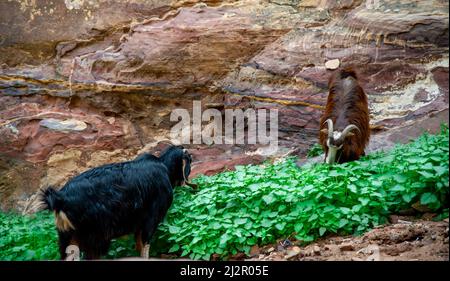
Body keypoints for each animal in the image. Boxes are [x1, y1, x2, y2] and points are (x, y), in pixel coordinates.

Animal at [37, 145, 195, 260]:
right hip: (96, 233)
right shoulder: (151, 217)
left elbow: (139, 245)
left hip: (67, 235)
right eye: (190, 160)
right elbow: (145, 246)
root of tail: (60, 198)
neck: (164, 166)